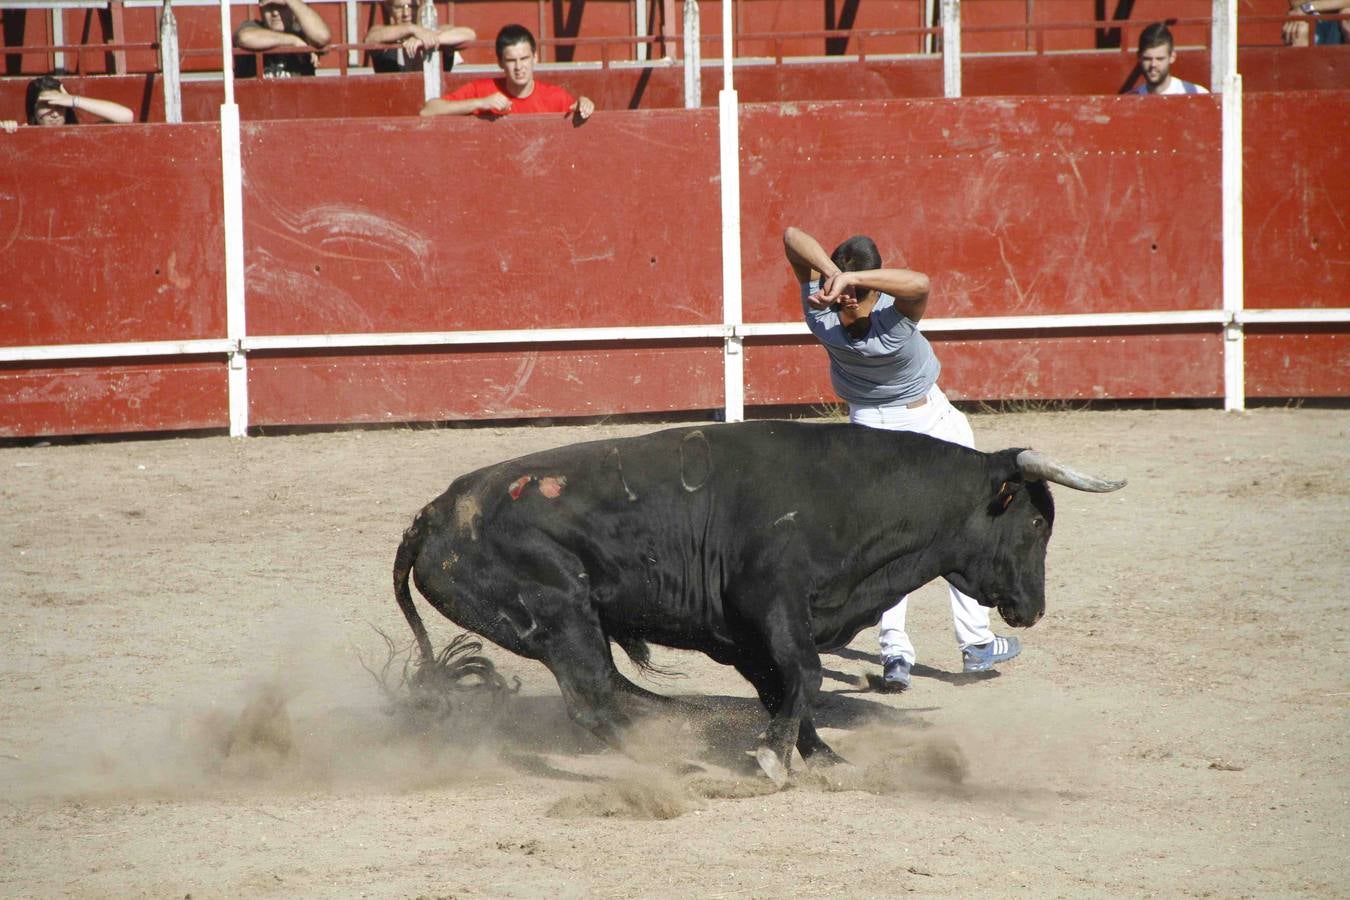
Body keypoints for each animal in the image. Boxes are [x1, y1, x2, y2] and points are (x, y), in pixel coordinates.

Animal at [392, 420, 1124, 784]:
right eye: (1036, 522)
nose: (1032, 608)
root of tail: (429, 518)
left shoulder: (745, 634)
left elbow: (785, 688)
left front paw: (820, 758)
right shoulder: (773, 604)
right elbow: (803, 676)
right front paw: (773, 759)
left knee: (611, 691)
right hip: (562, 613)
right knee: (594, 700)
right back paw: (674, 767)